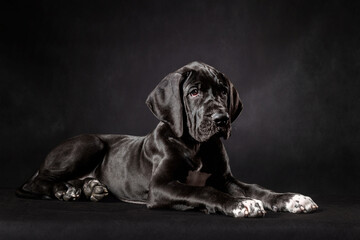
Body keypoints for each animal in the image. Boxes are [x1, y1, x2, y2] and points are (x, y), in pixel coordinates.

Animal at [16, 62, 318, 218]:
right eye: (194, 92)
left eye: (222, 91)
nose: (222, 119)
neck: (196, 147)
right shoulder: (161, 187)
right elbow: (202, 191)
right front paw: (239, 204)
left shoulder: (225, 178)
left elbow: (256, 188)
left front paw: (291, 199)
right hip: (91, 143)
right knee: (35, 181)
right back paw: (65, 190)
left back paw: (89, 188)